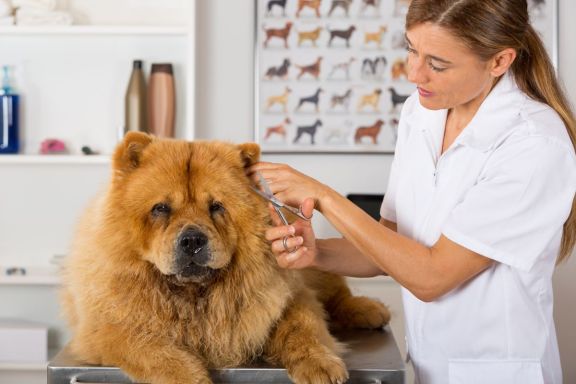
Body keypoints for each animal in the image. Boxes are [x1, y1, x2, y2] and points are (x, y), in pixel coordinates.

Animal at [60, 133, 390, 384]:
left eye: (216, 207)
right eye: (161, 208)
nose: (192, 240)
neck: (195, 298)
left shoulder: (291, 297)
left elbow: (303, 328)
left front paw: (321, 365)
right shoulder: (106, 328)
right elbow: (153, 350)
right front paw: (192, 379)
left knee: (338, 296)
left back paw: (371, 310)